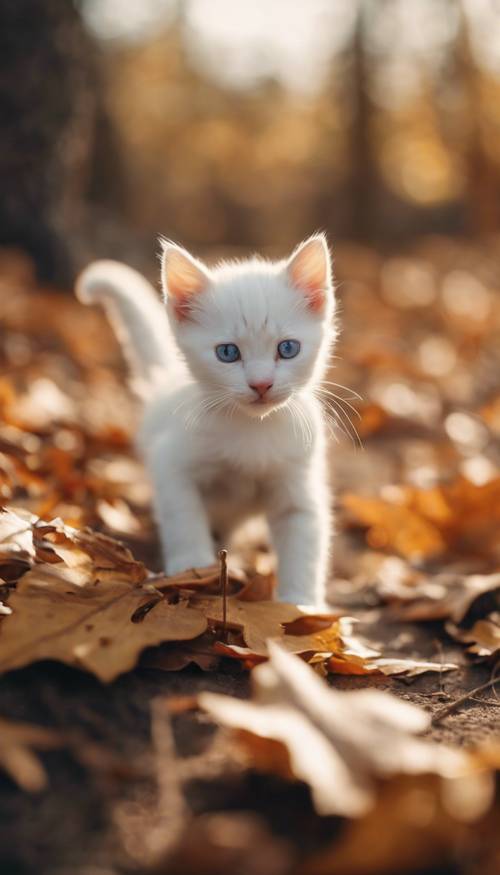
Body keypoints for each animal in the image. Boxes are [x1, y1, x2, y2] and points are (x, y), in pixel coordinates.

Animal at [77, 236, 336, 604]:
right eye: (227, 353)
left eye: (288, 348)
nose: (261, 384)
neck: (251, 430)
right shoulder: (171, 463)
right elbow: (183, 514)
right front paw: (193, 566)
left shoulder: (298, 481)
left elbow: (304, 539)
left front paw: (300, 603)